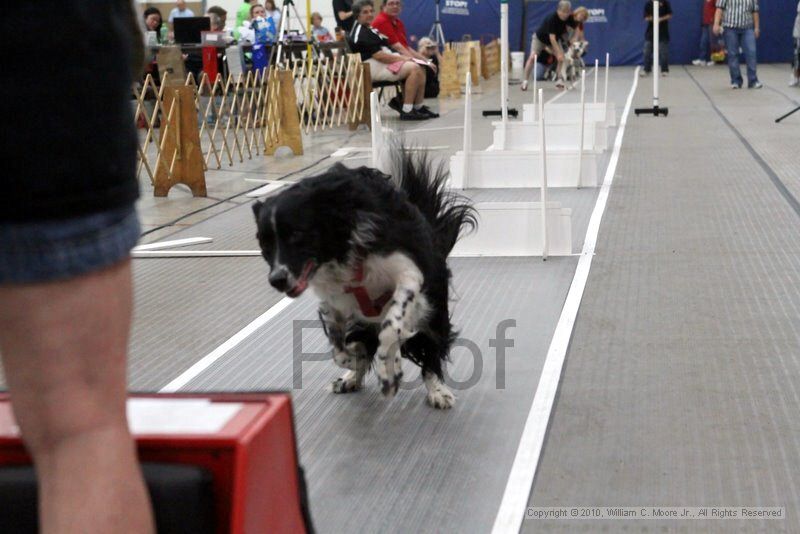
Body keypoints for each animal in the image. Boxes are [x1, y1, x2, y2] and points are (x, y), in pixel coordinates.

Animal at [252, 149, 476, 408]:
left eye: (297, 234)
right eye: (265, 244)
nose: (277, 279)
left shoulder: (408, 274)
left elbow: (391, 328)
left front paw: (389, 374)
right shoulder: (334, 301)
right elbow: (339, 349)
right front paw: (355, 360)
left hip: (433, 311)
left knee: (431, 349)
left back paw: (437, 390)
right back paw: (350, 377)